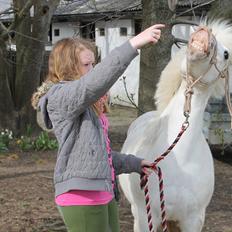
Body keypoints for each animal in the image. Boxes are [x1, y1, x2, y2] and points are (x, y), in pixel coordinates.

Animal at [118, 20, 232, 232]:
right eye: (187, 43)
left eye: (227, 54)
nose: (204, 31)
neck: (180, 159)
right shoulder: (145, 217)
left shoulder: (193, 220)